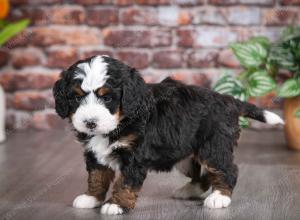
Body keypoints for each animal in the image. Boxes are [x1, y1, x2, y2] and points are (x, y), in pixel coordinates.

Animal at [52, 55, 284, 215]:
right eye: (76, 98)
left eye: (107, 98)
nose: (90, 122)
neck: (121, 122)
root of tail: (228, 100)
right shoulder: (94, 154)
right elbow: (96, 177)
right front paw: (91, 198)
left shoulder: (134, 156)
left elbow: (125, 182)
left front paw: (116, 204)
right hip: (185, 156)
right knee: (203, 175)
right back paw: (189, 190)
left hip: (213, 148)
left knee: (227, 170)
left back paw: (219, 197)